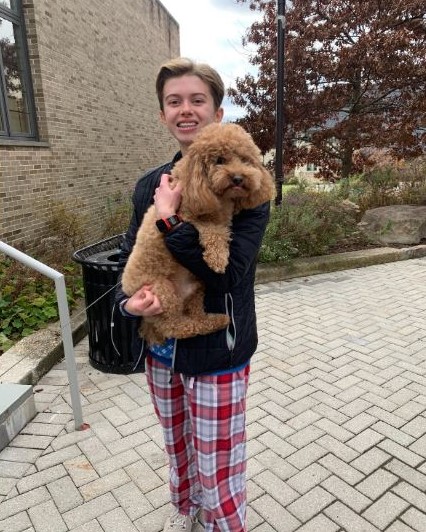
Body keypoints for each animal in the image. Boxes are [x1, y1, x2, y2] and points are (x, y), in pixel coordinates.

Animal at [121, 121, 274, 344]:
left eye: (245, 160)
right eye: (219, 160)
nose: (238, 178)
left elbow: (222, 228)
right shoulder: (185, 216)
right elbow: (213, 230)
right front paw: (217, 259)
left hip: (197, 286)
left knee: (196, 314)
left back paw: (216, 320)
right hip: (162, 293)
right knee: (176, 327)